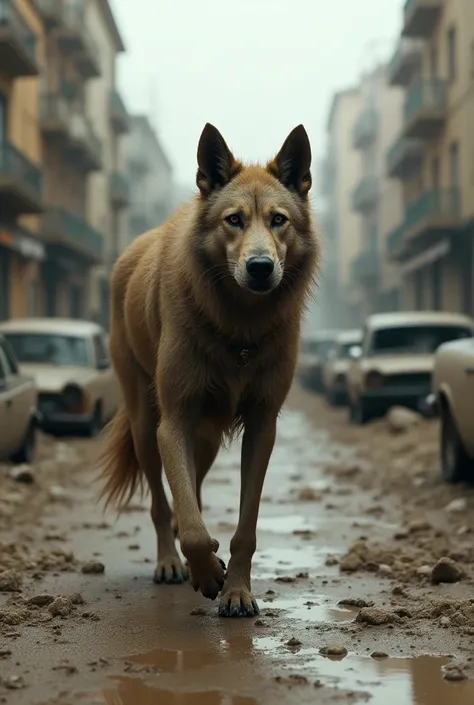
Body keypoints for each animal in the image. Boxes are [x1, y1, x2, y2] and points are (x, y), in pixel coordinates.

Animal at [101, 122, 322, 616]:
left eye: (278, 220)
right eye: (234, 219)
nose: (260, 268)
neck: (239, 329)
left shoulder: (262, 426)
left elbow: (246, 527)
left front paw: (236, 590)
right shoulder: (173, 422)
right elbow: (191, 526)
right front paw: (205, 573)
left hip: (204, 437)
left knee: (194, 490)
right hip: (146, 427)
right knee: (163, 506)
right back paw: (170, 563)